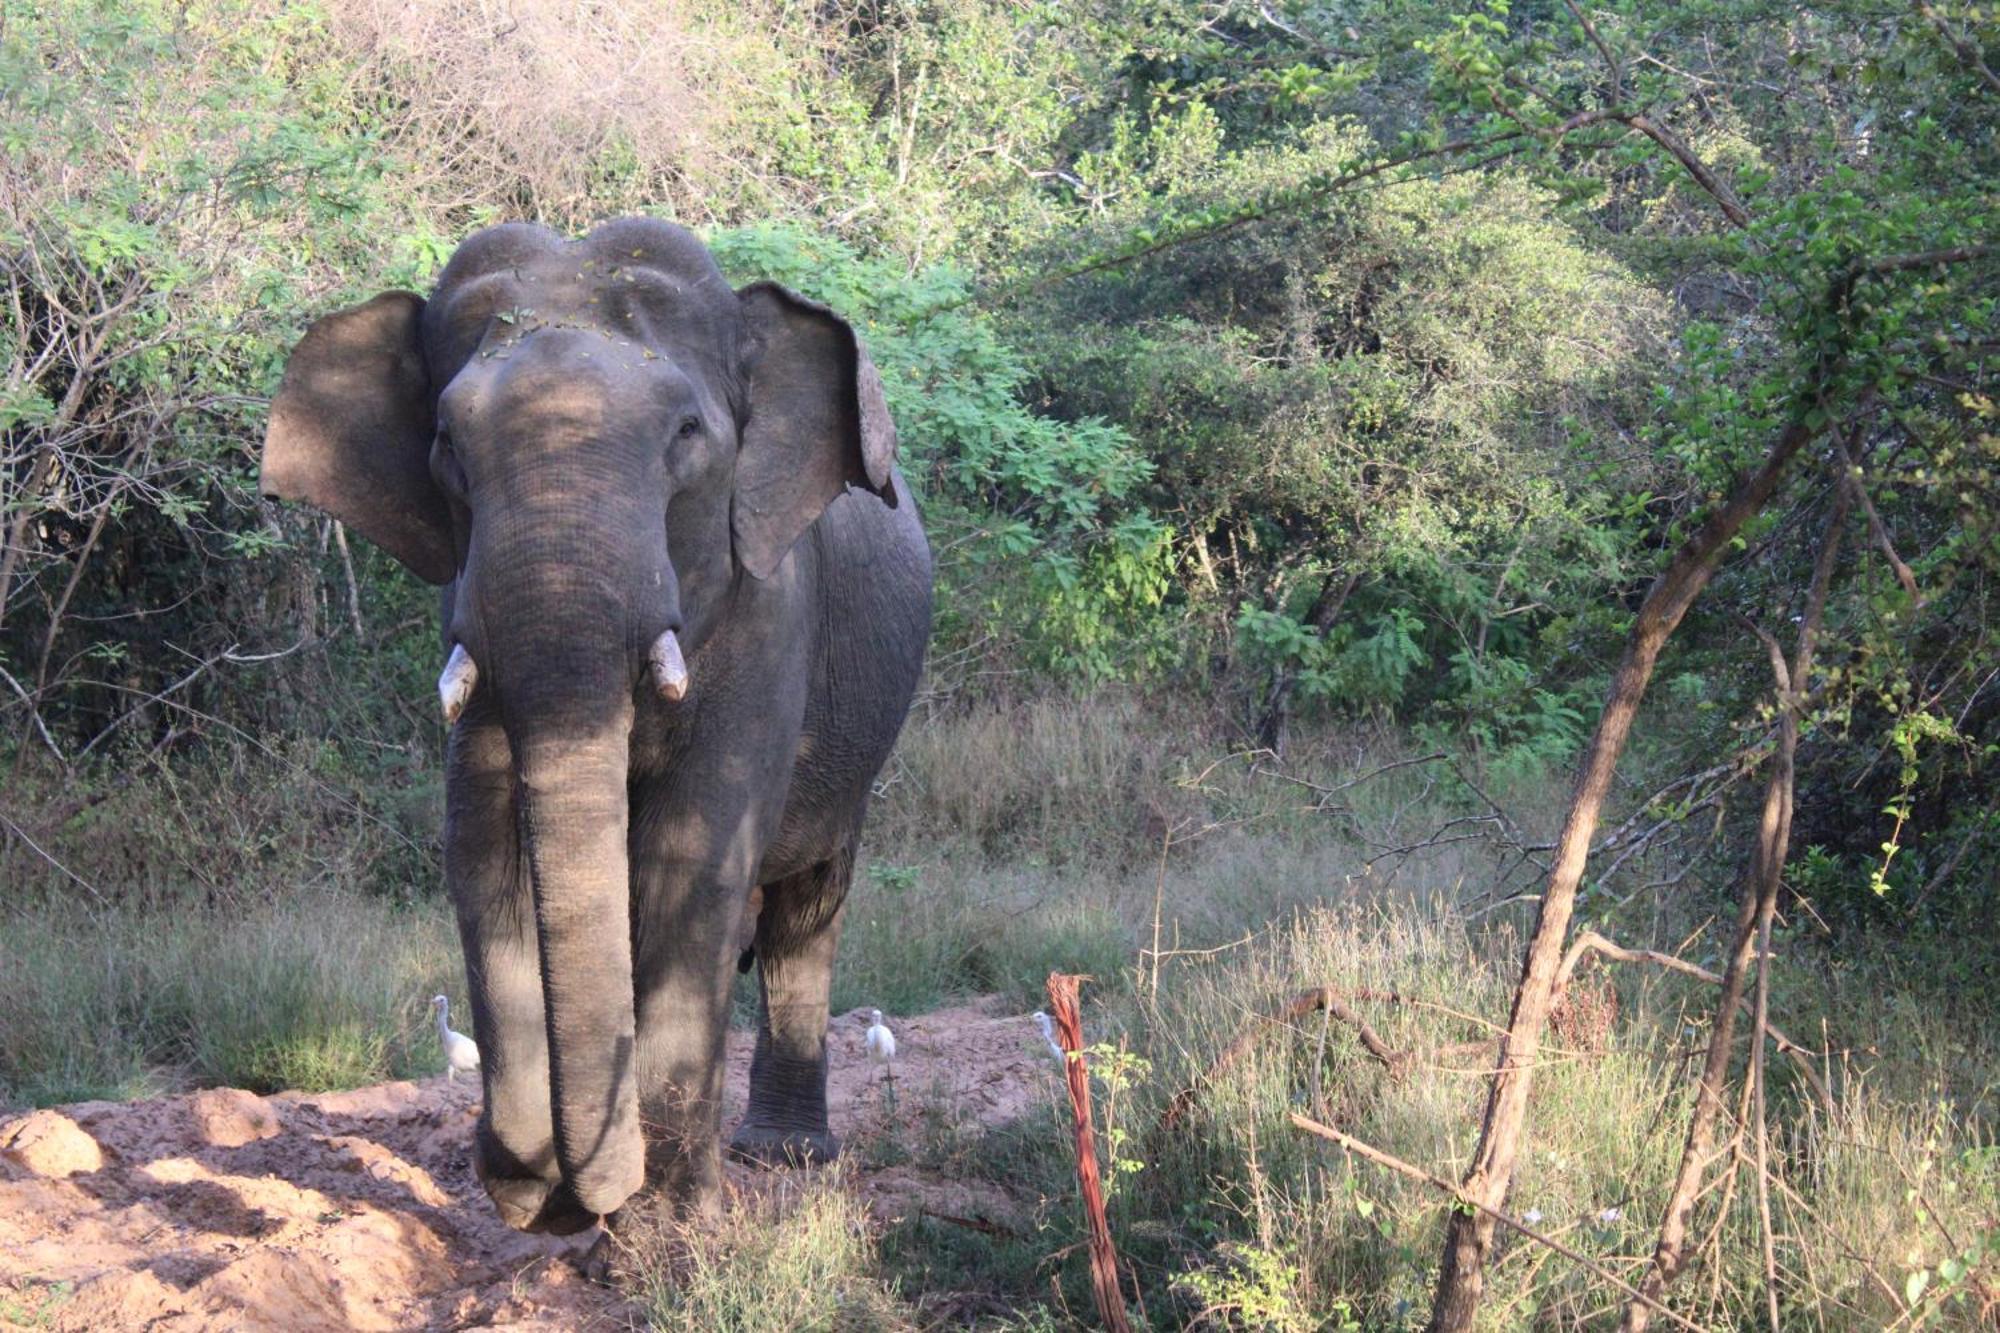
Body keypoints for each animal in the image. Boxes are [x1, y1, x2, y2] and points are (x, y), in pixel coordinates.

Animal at [256, 215, 928, 1224]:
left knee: (804, 913)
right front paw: (532, 1182)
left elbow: (693, 851)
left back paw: (783, 1154)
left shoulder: (773, 611)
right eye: (446, 443)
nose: (576, 1194)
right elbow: (481, 849)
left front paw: (665, 1216)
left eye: (687, 434)